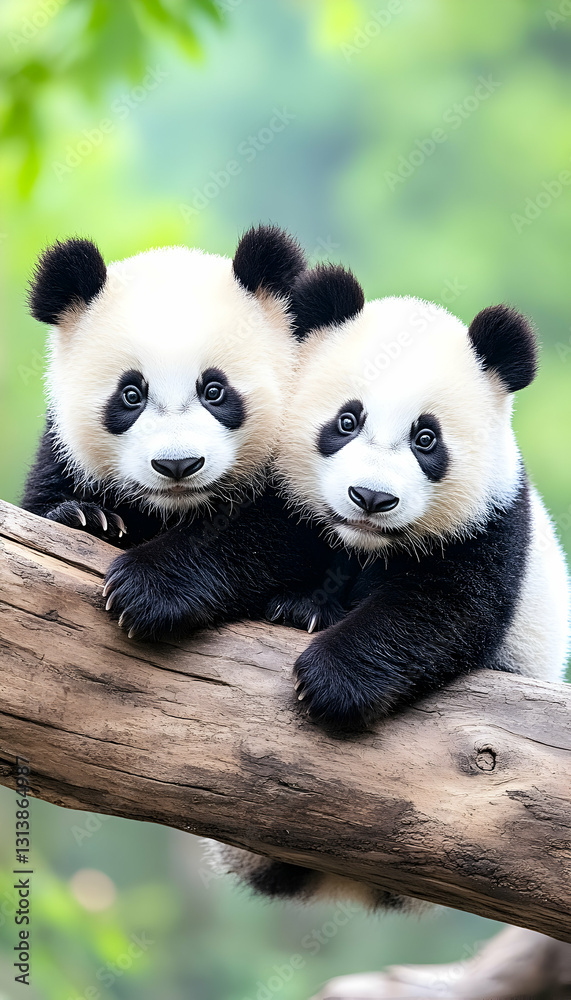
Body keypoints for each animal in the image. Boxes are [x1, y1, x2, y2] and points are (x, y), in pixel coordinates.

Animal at [210, 262, 570, 908]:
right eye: (346, 421)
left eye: (426, 438)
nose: (371, 498)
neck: (366, 544)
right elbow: (249, 540)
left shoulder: (492, 519)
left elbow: (440, 609)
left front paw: (329, 681)